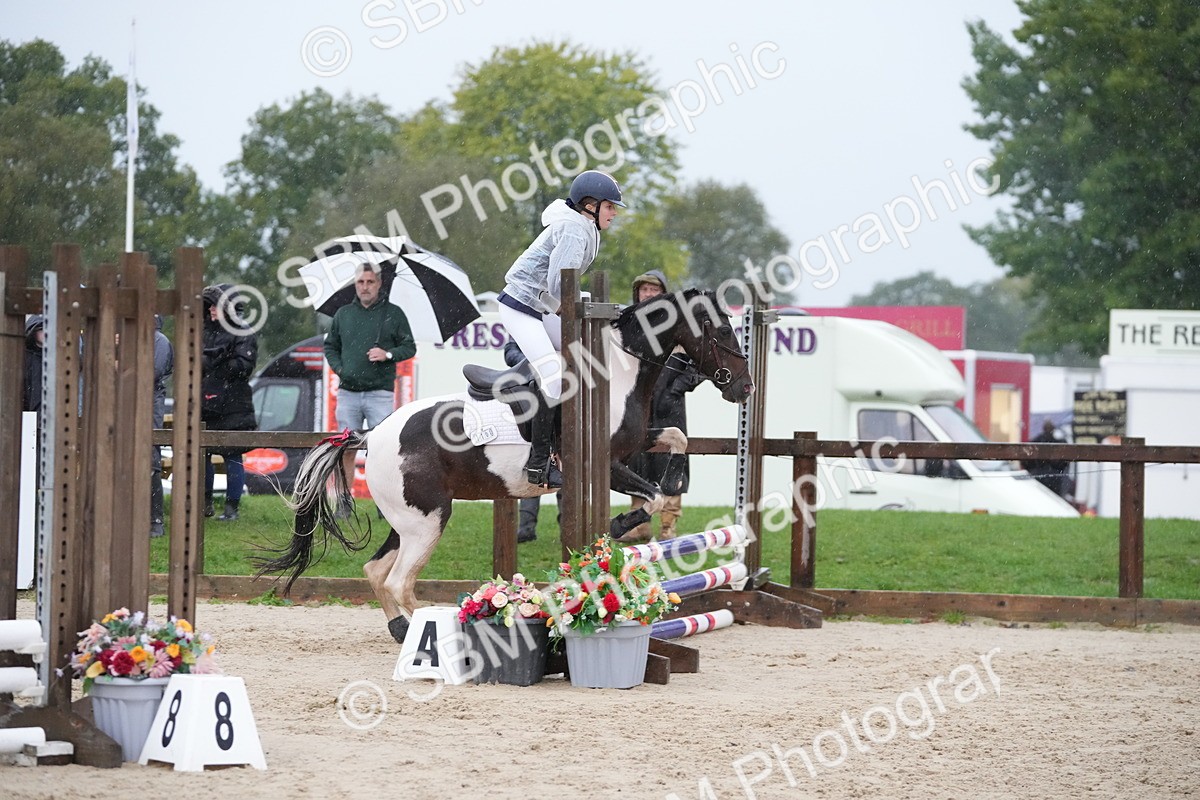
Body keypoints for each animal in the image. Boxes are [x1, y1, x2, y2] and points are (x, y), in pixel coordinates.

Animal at [255, 289, 754, 642]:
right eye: (721, 331)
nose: (744, 388)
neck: (618, 372)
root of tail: (372, 434)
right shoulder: (606, 462)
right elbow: (649, 498)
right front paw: (616, 525)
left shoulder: (632, 446)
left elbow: (677, 441)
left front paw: (671, 483)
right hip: (428, 521)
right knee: (399, 582)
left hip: (409, 519)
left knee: (376, 573)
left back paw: (401, 631)